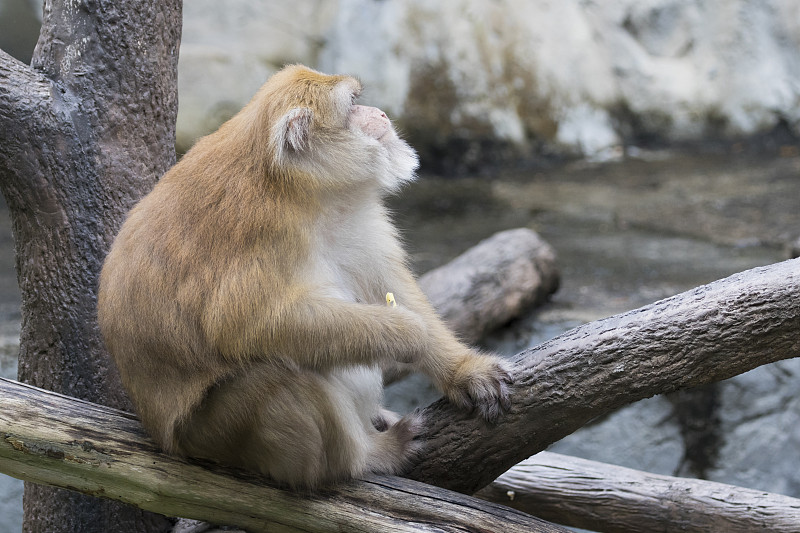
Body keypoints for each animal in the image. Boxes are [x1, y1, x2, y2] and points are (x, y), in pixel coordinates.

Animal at [98, 64, 512, 488]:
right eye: (352, 105)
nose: (380, 114)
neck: (300, 186)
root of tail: (163, 437)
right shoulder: (268, 231)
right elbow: (245, 325)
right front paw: (407, 332)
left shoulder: (350, 209)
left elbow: (385, 281)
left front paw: (464, 372)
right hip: (212, 435)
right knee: (279, 374)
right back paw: (368, 457)